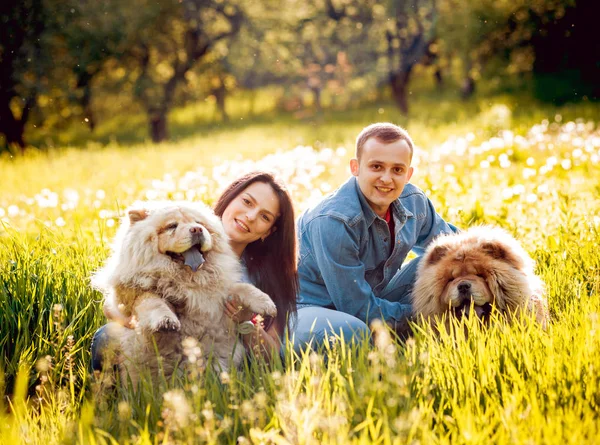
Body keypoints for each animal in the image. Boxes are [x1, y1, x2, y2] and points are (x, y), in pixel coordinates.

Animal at [92, 199, 278, 384]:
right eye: (172, 226)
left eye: (199, 223)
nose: (197, 229)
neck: (188, 281)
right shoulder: (133, 295)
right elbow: (152, 301)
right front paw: (166, 321)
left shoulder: (218, 295)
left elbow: (241, 288)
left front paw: (266, 303)